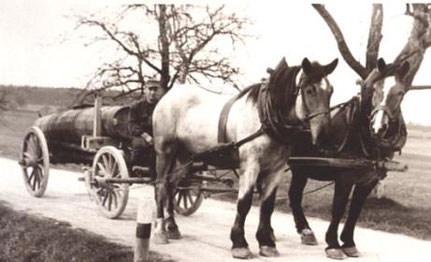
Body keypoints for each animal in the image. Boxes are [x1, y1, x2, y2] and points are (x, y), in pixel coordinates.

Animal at [154, 57, 340, 258]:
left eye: (331, 91)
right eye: (310, 90)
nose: (326, 138)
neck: (265, 118)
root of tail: (169, 95)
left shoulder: (276, 169)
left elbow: (267, 206)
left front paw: (266, 243)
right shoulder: (250, 165)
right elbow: (244, 203)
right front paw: (239, 243)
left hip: (186, 158)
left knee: (172, 185)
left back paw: (172, 227)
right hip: (165, 152)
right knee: (161, 186)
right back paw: (159, 230)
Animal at [288, 58, 410, 258]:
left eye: (400, 92)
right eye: (375, 90)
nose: (378, 127)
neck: (360, 132)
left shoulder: (368, 181)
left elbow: (355, 211)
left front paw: (348, 243)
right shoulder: (345, 178)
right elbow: (338, 209)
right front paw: (332, 244)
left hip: (300, 169)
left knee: (294, 194)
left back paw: (305, 231)